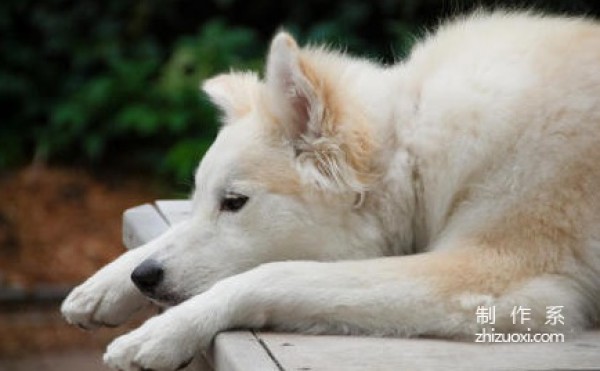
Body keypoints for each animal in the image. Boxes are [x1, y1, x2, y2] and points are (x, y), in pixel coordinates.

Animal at [62, 11, 600, 371]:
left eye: (234, 204)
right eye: (199, 200)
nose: (144, 278)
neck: (412, 149)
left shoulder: (495, 278)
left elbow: (274, 275)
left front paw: (162, 332)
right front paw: (106, 284)